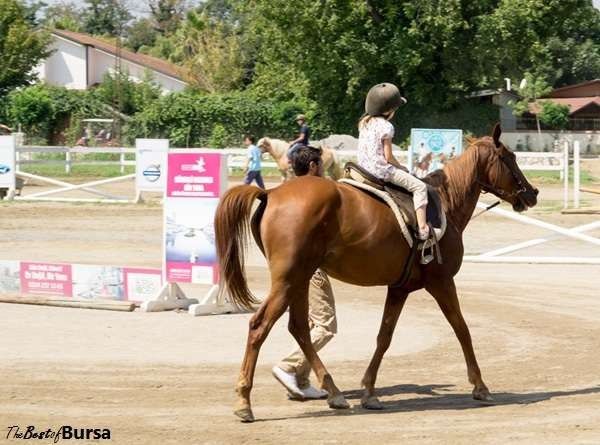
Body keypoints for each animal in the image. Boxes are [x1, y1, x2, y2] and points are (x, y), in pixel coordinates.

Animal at [217, 124, 540, 420]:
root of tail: (269, 193)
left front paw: (369, 392)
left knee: (299, 328)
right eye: (509, 157)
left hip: (300, 280)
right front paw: (480, 386)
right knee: (260, 326)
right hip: (288, 280)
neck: (446, 203)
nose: (533, 192)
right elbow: (462, 329)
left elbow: (384, 336)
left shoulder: (399, 288)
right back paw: (244, 401)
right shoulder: (442, 282)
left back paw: (332, 392)